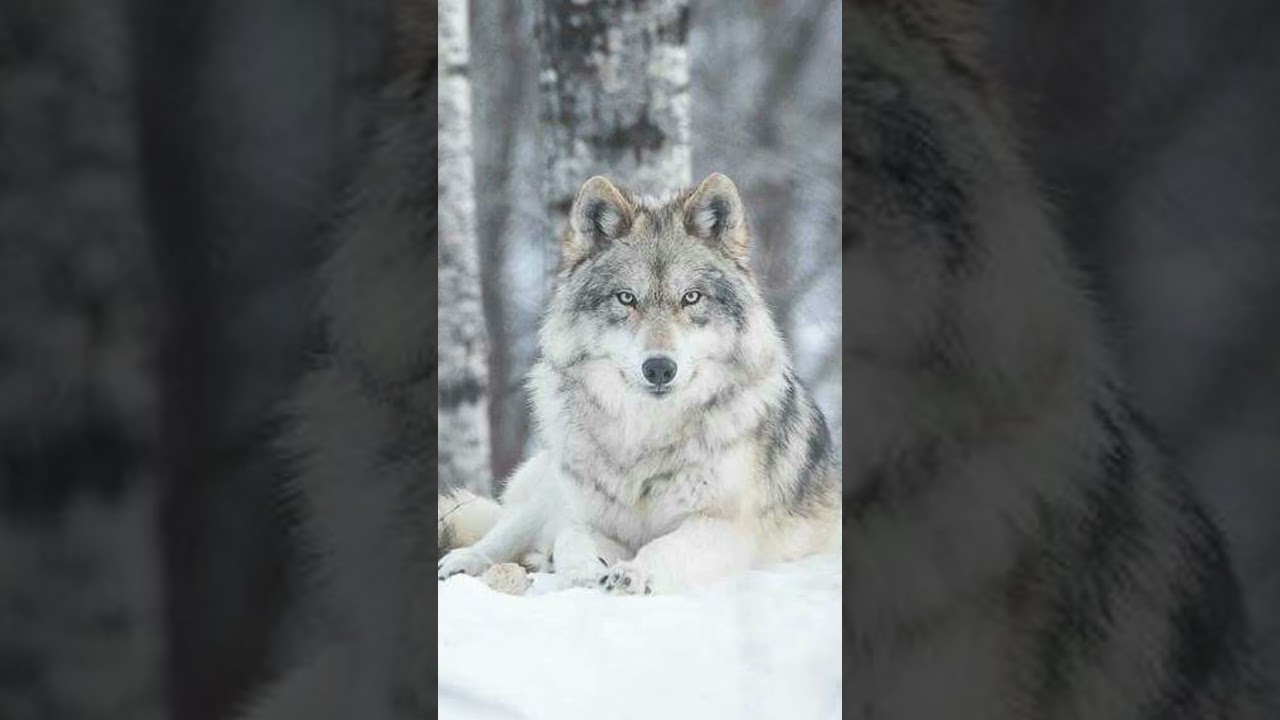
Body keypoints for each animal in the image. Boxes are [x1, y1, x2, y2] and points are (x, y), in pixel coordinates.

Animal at [437, 172, 841, 594]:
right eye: (626, 298)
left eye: (691, 298)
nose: (660, 368)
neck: (647, 435)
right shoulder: (588, 518)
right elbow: (571, 538)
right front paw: (585, 572)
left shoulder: (725, 528)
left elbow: (666, 546)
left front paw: (634, 573)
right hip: (549, 488)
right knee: (502, 532)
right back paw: (464, 562)